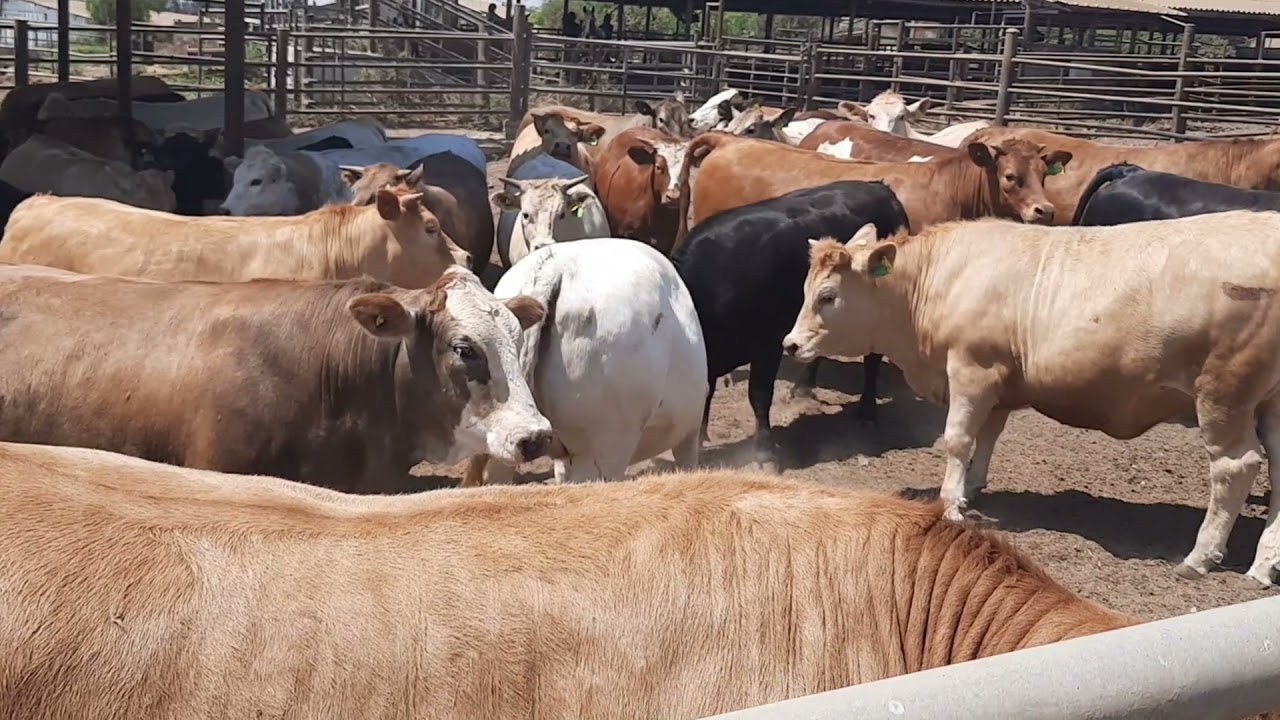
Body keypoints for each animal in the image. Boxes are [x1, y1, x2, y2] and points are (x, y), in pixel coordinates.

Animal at [673, 180, 909, 471]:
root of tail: (881, 188)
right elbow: (706, 390)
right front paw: (700, 436)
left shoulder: (767, 345)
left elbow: (759, 395)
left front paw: (764, 452)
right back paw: (803, 387)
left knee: (873, 360)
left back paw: (867, 412)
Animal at [784, 211, 1280, 588]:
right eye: (805, 290)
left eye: (828, 296)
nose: (790, 344)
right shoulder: (999, 385)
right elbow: (986, 437)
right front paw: (971, 489)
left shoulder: (972, 369)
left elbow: (958, 439)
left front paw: (951, 503)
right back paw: (1263, 564)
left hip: (1223, 393)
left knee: (1235, 466)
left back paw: (1201, 555)